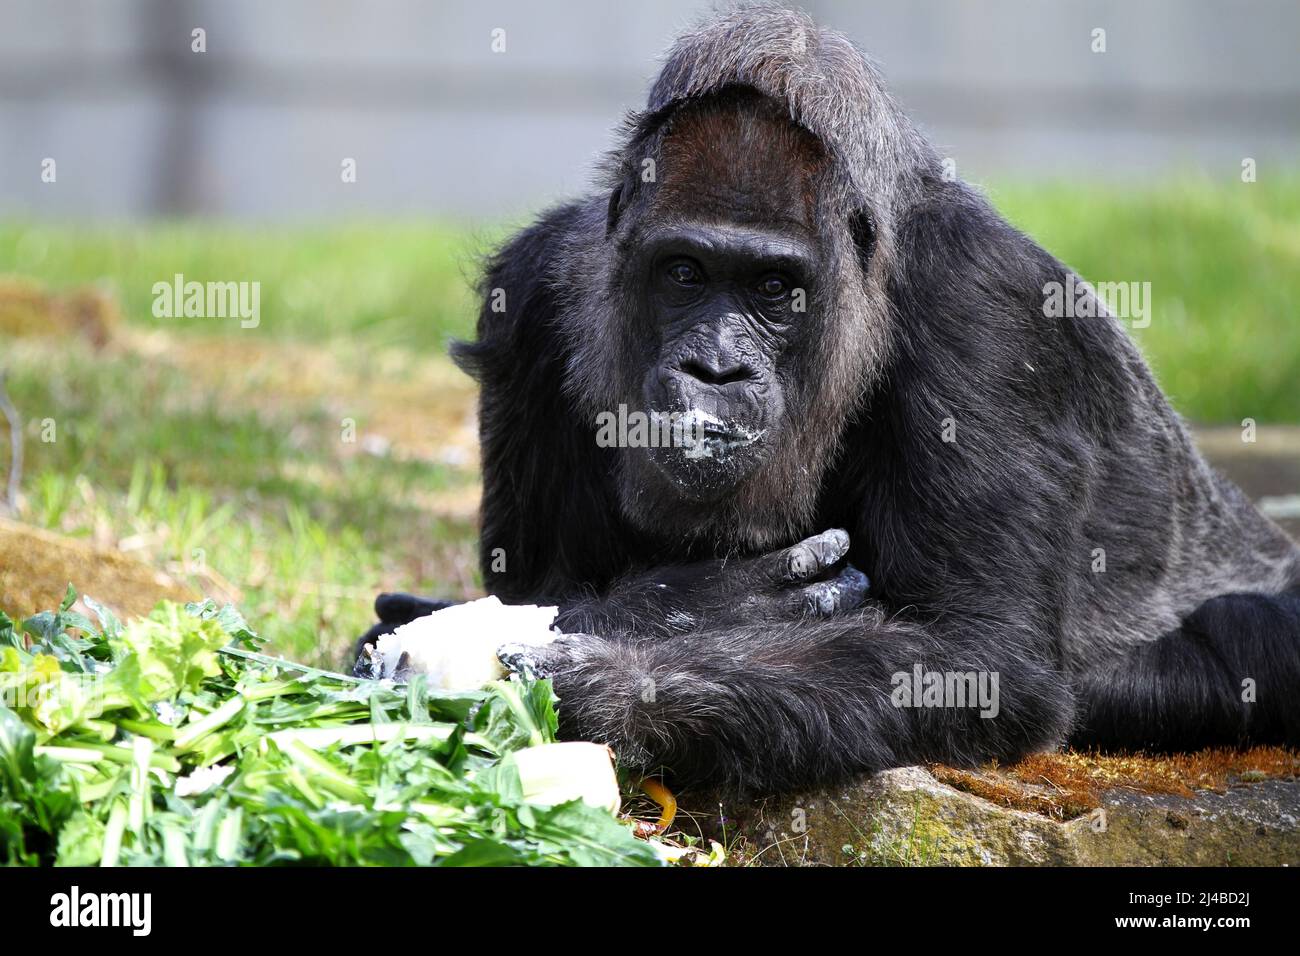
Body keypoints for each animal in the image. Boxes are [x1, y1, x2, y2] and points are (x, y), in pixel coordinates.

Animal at [361, 7, 1300, 796]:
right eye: (684, 273)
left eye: (774, 288)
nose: (713, 369)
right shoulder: (528, 295)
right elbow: (530, 585)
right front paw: (690, 606)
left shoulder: (986, 306)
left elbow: (978, 654)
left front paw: (619, 686)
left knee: (1252, 632)